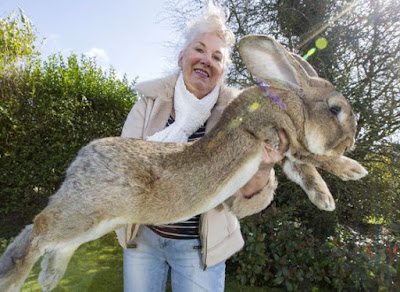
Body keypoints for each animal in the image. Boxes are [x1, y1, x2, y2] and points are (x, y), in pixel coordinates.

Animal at [0, 34, 366, 292]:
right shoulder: (277, 134)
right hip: (86, 211)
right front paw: (352, 170)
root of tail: (80, 161)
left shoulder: (286, 153)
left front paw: (324, 199)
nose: (352, 140)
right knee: (39, 229)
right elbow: (315, 157)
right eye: (335, 109)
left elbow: (303, 170)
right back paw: (15, 279)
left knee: (50, 239)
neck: (290, 103)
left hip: (97, 221)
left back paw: (47, 277)